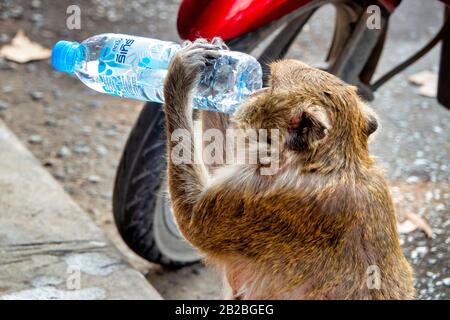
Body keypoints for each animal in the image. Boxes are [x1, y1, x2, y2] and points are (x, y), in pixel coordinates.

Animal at [162, 38, 414, 298]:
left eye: (271, 85)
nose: (255, 92)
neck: (331, 163)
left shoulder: (261, 197)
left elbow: (191, 223)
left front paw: (180, 78)